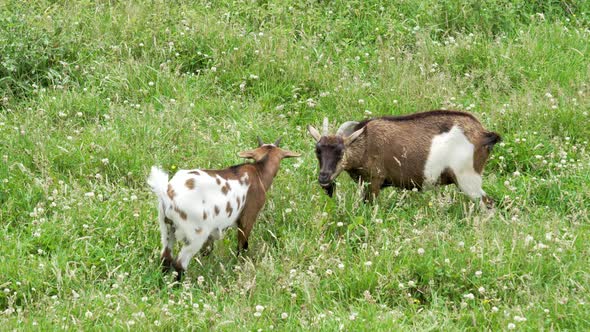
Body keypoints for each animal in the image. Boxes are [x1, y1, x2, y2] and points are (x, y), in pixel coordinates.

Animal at [146, 137, 302, 280]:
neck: (258, 172)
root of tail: (168, 193)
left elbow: (207, 250)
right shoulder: (248, 217)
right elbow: (242, 245)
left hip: (166, 228)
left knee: (165, 258)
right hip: (196, 233)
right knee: (179, 264)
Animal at [310, 109, 504, 208]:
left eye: (340, 152)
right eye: (317, 151)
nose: (324, 177)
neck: (366, 142)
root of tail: (483, 134)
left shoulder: (375, 180)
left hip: (467, 178)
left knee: (488, 204)